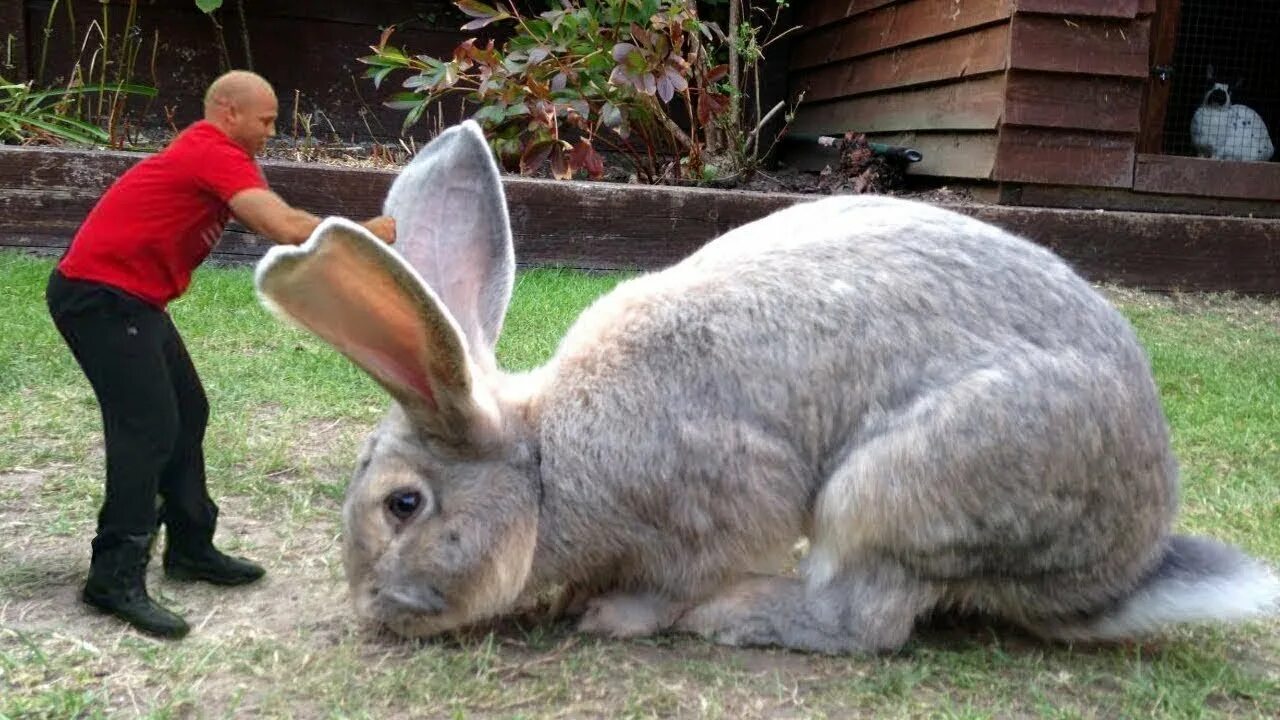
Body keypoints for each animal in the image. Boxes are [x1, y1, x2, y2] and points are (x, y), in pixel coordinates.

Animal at [252, 121, 1280, 650]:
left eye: (405, 505)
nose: (372, 611)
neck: (547, 463)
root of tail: (1120, 569)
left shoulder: (721, 502)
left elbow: (672, 581)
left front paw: (615, 617)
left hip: (898, 488)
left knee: (869, 622)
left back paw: (737, 617)